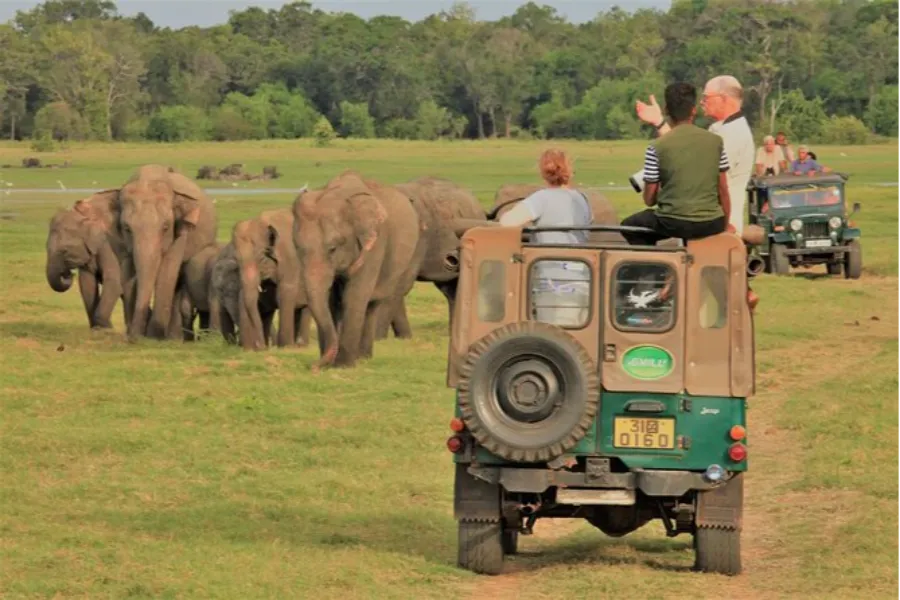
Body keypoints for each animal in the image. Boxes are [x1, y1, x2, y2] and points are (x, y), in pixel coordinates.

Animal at [45, 195, 131, 330]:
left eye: (65, 251)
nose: (68, 273)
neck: (85, 218)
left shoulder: (109, 246)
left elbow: (113, 282)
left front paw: (106, 328)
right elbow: (87, 284)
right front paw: (97, 328)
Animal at [112, 164, 218, 340]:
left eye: (166, 227)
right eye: (127, 228)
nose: (135, 338)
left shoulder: (180, 232)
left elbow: (168, 270)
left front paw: (154, 336)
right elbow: (126, 272)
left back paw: (174, 338)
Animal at [232, 208, 311, 351]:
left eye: (261, 259)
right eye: (236, 261)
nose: (261, 345)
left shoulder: (290, 257)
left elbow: (284, 293)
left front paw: (286, 347)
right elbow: (243, 296)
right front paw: (248, 350)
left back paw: (300, 345)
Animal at [292, 171, 420, 369]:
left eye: (333, 249)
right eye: (297, 248)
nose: (314, 366)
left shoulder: (375, 244)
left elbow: (354, 296)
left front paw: (343, 366)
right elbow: (331, 301)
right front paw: (331, 363)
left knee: (372, 304)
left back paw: (363, 357)